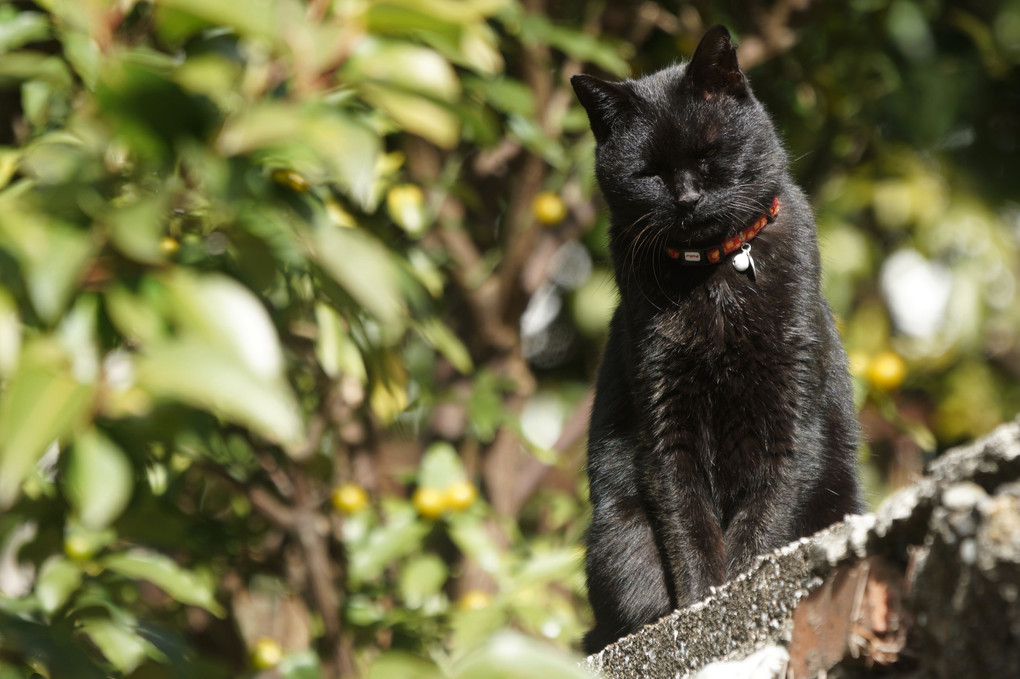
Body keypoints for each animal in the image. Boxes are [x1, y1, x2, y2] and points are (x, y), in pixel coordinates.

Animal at [575, 25, 860, 652]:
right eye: (650, 172)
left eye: (707, 156)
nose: (686, 199)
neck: (716, 276)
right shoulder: (665, 422)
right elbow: (691, 528)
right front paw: (705, 602)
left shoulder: (791, 415)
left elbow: (762, 523)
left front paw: (737, 589)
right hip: (617, 538)